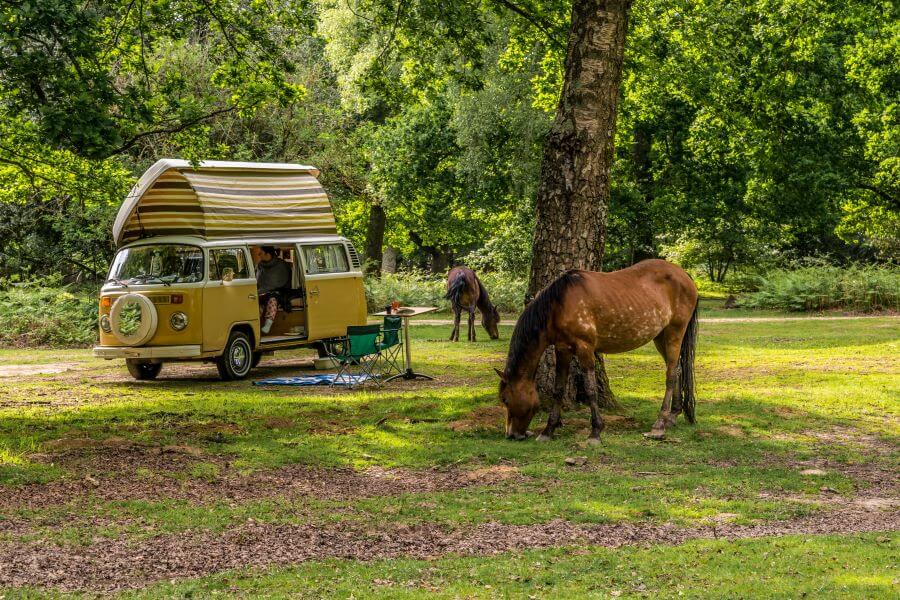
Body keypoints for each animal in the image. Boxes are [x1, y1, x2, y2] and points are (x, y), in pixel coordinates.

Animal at [496, 258, 700, 440]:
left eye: (505, 399)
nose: (511, 435)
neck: (559, 305)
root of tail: (684, 275)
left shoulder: (585, 348)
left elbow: (590, 389)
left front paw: (595, 431)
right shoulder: (563, 349)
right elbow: (558, 389)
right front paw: (548, 430)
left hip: (675, 332)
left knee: (670, 375)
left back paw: (659, 424)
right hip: (660, 337)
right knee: (677, 370)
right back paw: (672, 416)